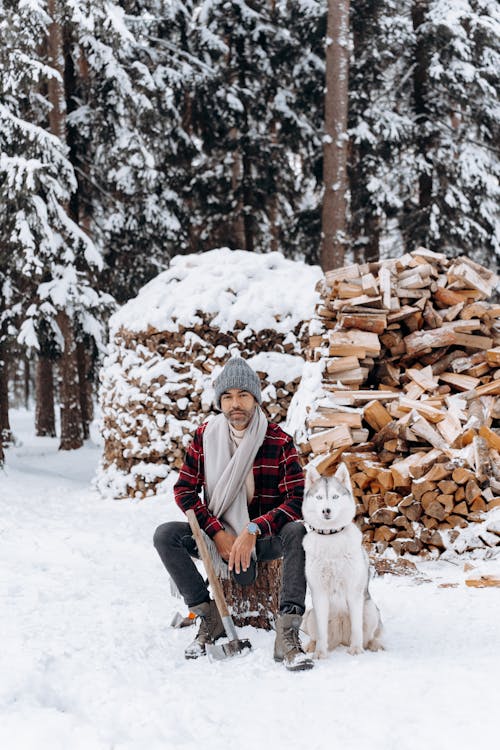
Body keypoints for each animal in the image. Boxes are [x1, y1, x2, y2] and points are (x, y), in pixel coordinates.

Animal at [300, 464, 382, 656]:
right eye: (319, 497)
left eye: (335, 496)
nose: (326, 510)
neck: (330, 536)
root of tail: (340, 639)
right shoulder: (319, 593)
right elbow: (321, 633)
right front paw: (320, 653)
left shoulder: (354, 592)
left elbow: (357, 629)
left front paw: (356, 649)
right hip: (311, 615)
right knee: (317, 634)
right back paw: (312, 646)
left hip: (370, 609)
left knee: (369, 636)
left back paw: (372, 645)